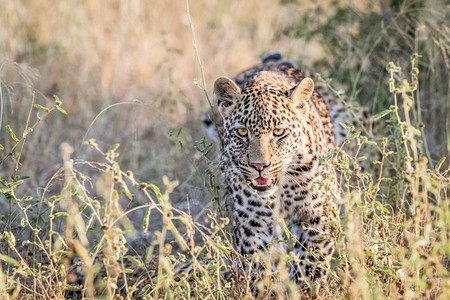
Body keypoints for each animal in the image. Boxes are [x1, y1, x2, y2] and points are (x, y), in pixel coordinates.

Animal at [213, 52, 340, 288]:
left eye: (279, 132)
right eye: (242, 132)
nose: (259, 166)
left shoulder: (318, 214)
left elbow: (312, 261)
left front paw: (306, 287)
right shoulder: (252, 222)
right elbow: (258, 267)